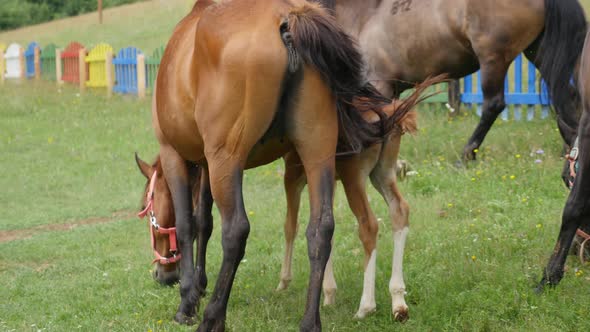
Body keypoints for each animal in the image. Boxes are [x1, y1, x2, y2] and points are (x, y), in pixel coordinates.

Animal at [320, 0, 590, 161]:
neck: (364, 13)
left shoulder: (379, 83)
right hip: (539, 51)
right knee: (566, 97)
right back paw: (569, 148)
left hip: (493, 58)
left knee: (493, 105)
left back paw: (467, 155)